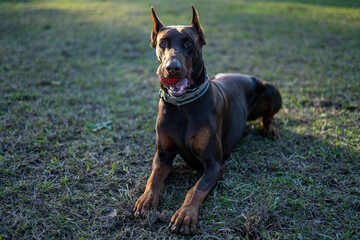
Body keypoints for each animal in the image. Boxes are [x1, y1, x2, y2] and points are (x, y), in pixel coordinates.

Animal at [132, 5, 282, 234]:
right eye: (163, 43)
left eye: (188, 42)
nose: (172, 67)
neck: (183, 107)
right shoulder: (163, 155)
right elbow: (154, 177)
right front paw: (147, 199)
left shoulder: (213, 165)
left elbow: (195, 190)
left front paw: (185, 214)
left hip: (271, 89)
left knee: (268, 116)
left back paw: (269, 128)